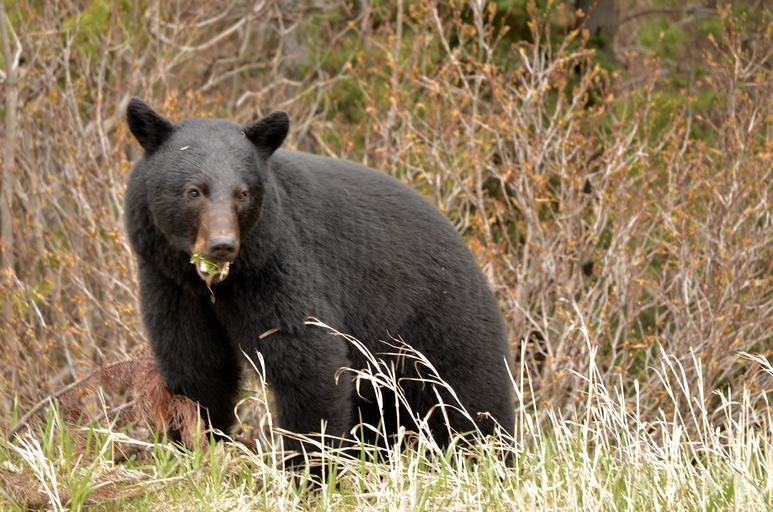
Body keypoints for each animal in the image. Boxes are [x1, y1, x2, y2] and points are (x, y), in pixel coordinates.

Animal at [124, 97, 514, 459]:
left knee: (468, 402)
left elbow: (309, 363)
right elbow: (196, 367)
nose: (222, 245)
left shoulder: (279, 266)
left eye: (242, 193)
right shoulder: (169, 283)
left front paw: (309, 467)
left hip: (440, 326)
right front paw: (194, 448)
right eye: (194, 191)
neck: (218, 284)